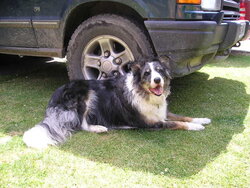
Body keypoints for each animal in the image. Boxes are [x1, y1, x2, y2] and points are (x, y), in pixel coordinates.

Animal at [23, 58, 211, 148]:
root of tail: (54, 96)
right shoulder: (151, 123)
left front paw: (202, 120)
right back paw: (98, 128)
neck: (145, 94)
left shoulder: (162, 112)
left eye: (159, 71)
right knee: (80, 124)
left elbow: (182, 116)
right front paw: (196, 127)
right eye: (147, 73)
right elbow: (176, 123)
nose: (157, 80)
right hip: (86, 95)